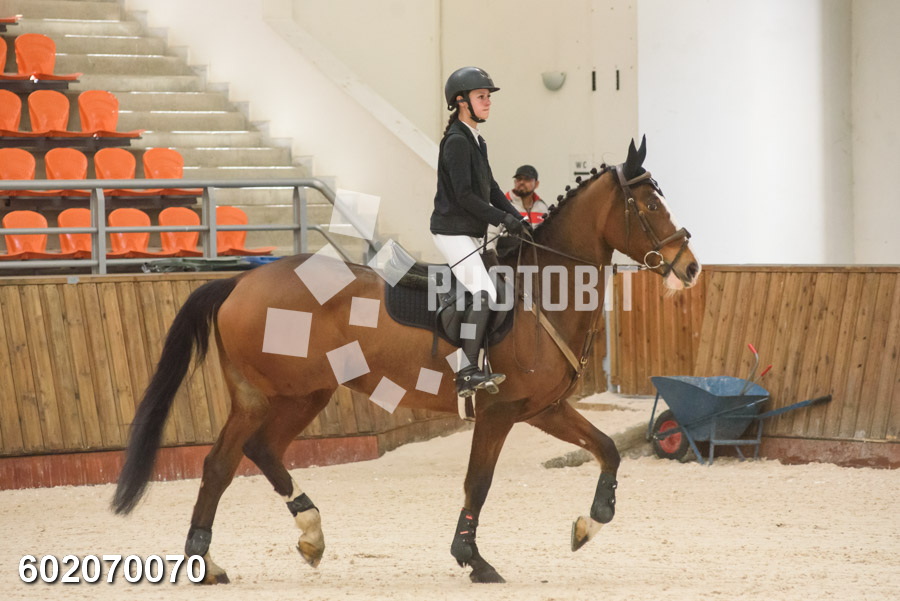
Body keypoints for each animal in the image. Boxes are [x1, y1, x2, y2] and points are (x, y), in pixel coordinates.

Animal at [112, 136, 701, 584]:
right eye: (649, 207)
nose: (690, 267)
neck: (542, 292)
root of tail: (241, 281)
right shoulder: (498, 412)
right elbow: (478, 482)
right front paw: (473, 560)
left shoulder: (543, 409)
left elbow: (607, 450)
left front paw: (589, 523)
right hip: (266, 396)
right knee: (219, 465)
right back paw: (205, 561)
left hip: (305, 393)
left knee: (260, 451)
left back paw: (310, 534)